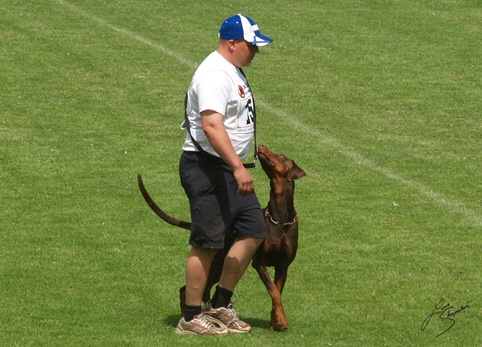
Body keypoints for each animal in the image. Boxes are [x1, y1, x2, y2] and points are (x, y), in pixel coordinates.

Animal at [139, 143, 306, 332]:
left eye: (282, 156)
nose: (262, 146)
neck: (280, 219)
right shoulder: (259, 262)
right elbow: (274, 292)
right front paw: (281, 320)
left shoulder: (283, 265)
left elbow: (277, 292)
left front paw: (276, 321)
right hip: (215, 263)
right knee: (186, 290)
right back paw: (188, 321)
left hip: (220, 266)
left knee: (204, 291)